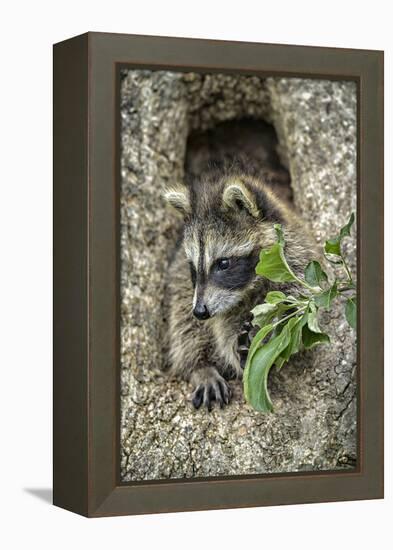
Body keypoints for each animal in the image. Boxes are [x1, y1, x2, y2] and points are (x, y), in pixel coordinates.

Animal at [164, 125, 316, 412]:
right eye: (194, 267)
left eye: (223, 263)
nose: (200, 311)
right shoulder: (184, 275)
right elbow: (204, 324)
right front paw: (206, 361)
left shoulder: (294, 252)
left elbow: (296, 294)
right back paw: (201, 366)